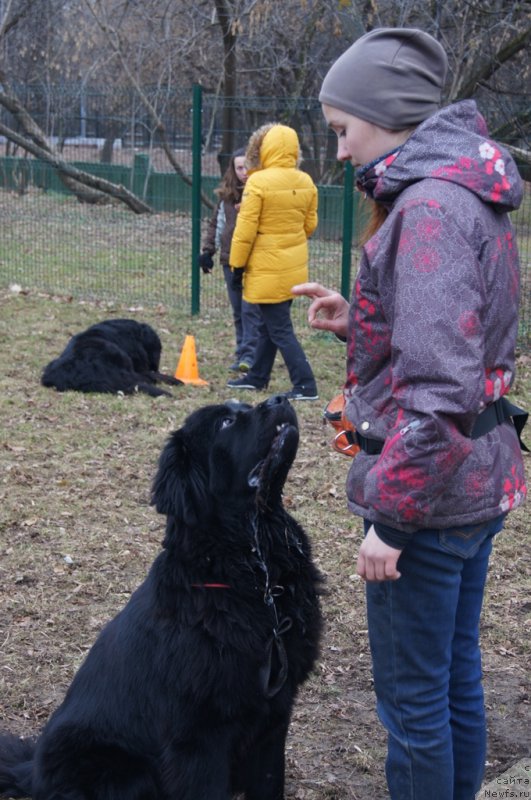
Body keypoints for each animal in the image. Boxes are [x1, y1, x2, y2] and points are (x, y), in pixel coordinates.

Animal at [0, 396, 324, 796]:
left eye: (245, 406)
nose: (279, 398)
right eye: (226, 422)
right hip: (125, 772)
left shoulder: (274, 718)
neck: (257, 579)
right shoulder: (200, 738)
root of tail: (30, 772)